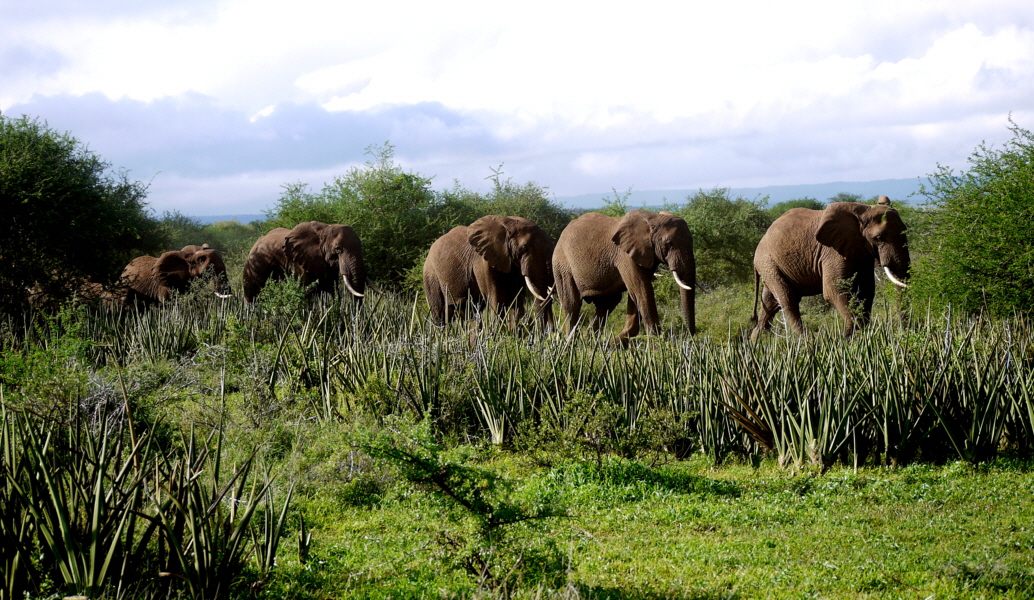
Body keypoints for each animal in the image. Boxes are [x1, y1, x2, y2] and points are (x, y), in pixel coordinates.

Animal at [550, 209, 694, 341]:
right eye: (669, 244)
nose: (691, 337)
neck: (652, 218)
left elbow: (636, 292)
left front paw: (625, 338)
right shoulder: (625, 256)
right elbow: (642, 290)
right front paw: (657, 340)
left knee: (607, 303)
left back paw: (591, 340)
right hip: (562, 265)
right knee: (572, 304)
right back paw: (571, 342)